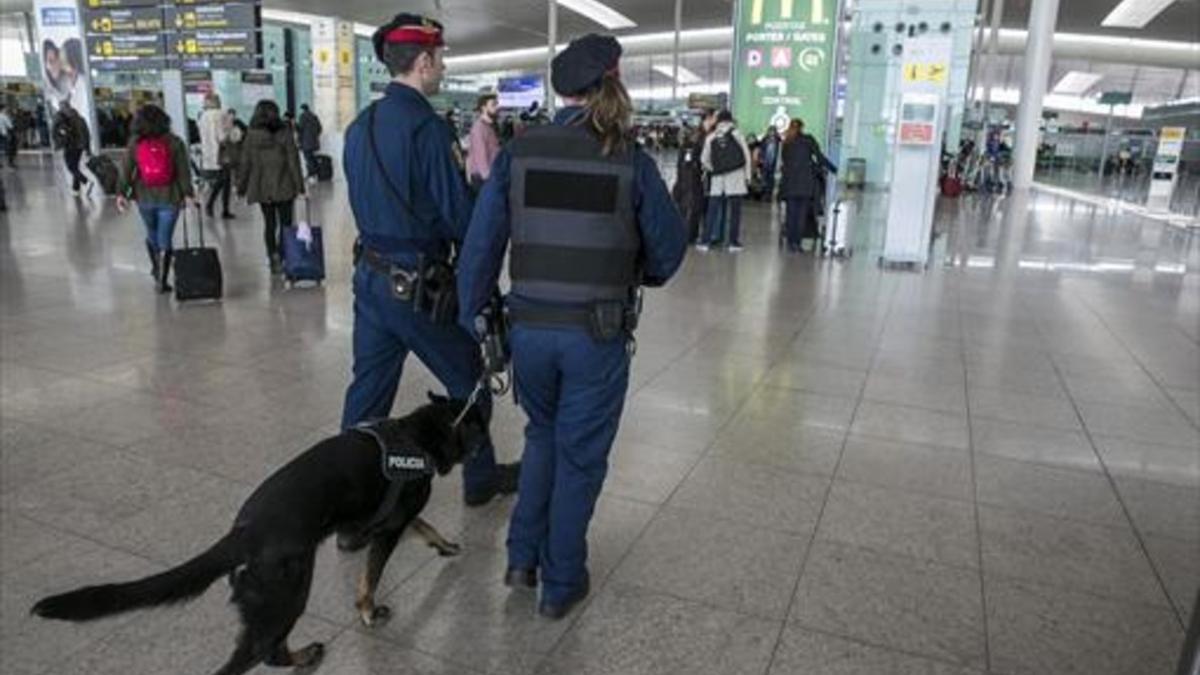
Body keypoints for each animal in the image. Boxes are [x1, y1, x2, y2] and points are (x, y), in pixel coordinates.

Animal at [30, 393, 484, 672]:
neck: (419, 433)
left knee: (267, 652)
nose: (489, 397)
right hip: (287, 597)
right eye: (480, 419)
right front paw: (369, 610)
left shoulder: (385, 521)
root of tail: (243, 532)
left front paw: (443, 544)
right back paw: (304, 656)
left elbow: (425, 527)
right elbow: (371, 577)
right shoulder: (390, 526)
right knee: (256, 658)